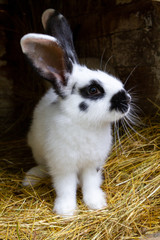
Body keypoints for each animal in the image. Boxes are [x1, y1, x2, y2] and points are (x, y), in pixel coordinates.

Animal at [20, 8, 131, 216]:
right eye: (93, 90)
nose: (127, 99)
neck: (85, 124)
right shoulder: (63, 166)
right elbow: (65, 188)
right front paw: (66, 210)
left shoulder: (93, 164)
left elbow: (91, 185)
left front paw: (96, 203)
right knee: (43, 166)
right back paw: (31, 177)